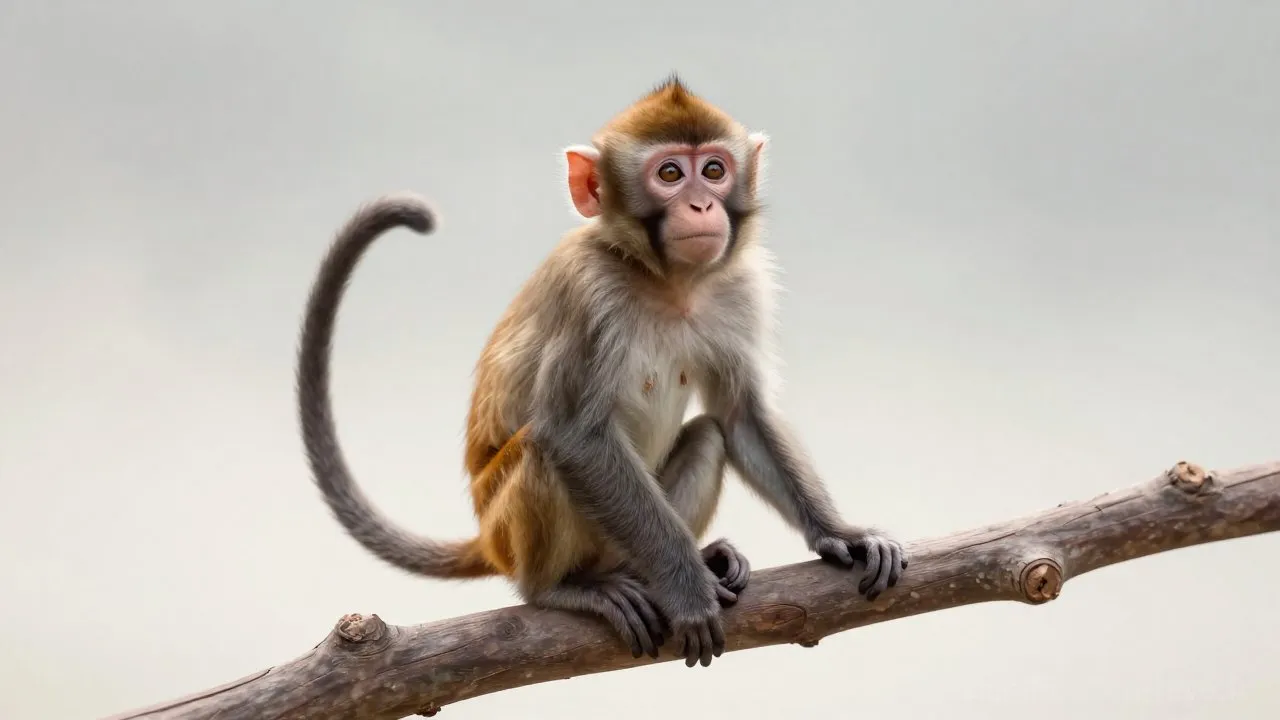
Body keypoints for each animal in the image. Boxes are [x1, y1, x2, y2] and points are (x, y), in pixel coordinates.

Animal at [295, 75, 907, 669]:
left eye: (713, 170)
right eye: (669, 173)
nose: (701, 206)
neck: (665, 281)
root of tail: (488, 538)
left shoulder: (739, 288)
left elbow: (739, 416)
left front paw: (841, 536)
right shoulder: (589, 297)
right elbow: (574, 436)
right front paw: (687, 590)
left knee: (707, 436)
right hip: (509, 526)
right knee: (543, 450)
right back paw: (564, 589)